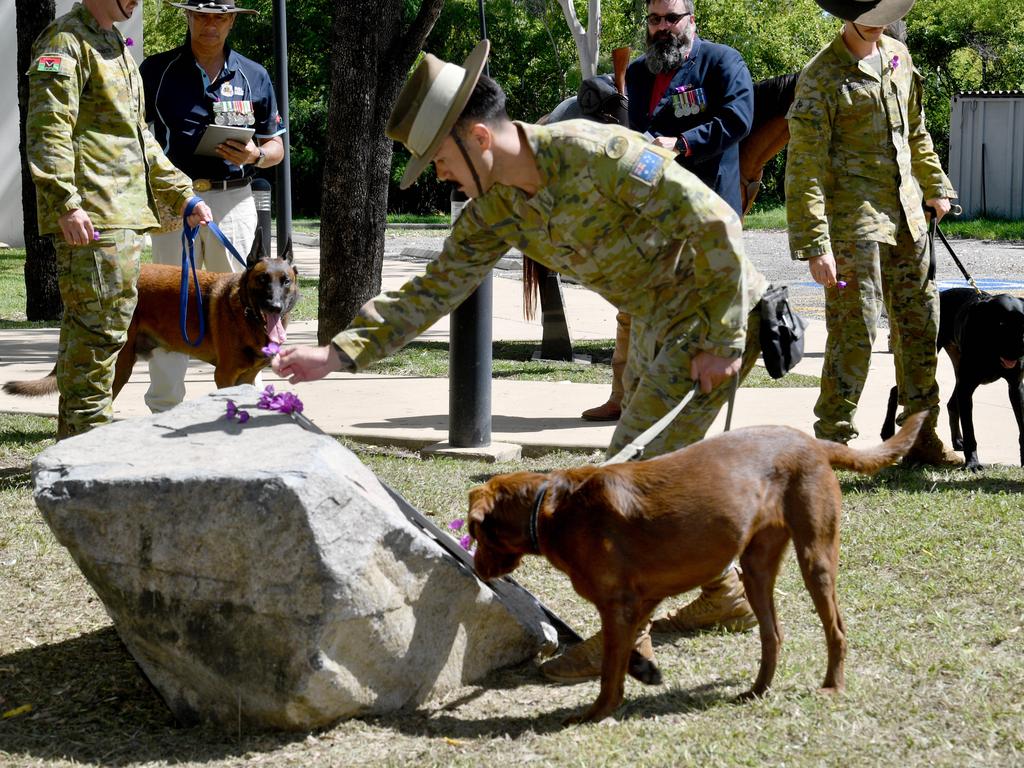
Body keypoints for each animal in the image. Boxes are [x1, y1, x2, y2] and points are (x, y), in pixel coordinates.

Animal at [4, 231, 299, 403]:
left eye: (285, 281)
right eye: (262, 280)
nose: (274, 307)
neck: (247, 314)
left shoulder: (246, 378)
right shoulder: (224, 376)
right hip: (117, 367)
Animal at [466, 411, 929, 724]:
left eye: (475, 532)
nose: (477, 569)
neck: (550, 509)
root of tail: (811, 442)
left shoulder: (618, 605)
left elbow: (610, 670)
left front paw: (597, 712)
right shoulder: (641, 601)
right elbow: (626, 652)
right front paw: (644, 670)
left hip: (815, 555)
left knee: (836, 629)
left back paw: (832, 686)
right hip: (756, 566)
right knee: (773, 635)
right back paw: (756, 691)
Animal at [880, 286, 1024, 473]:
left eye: (1023, 325)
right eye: (1001, 324)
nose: (1019, 352)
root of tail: (942, 294)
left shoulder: (1016, 387)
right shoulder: (966, 388)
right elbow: (970, 431)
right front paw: (973, 463)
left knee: (951, 404)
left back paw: (957, 440)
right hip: (927, 356)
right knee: (896, 390)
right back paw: (887, 431)